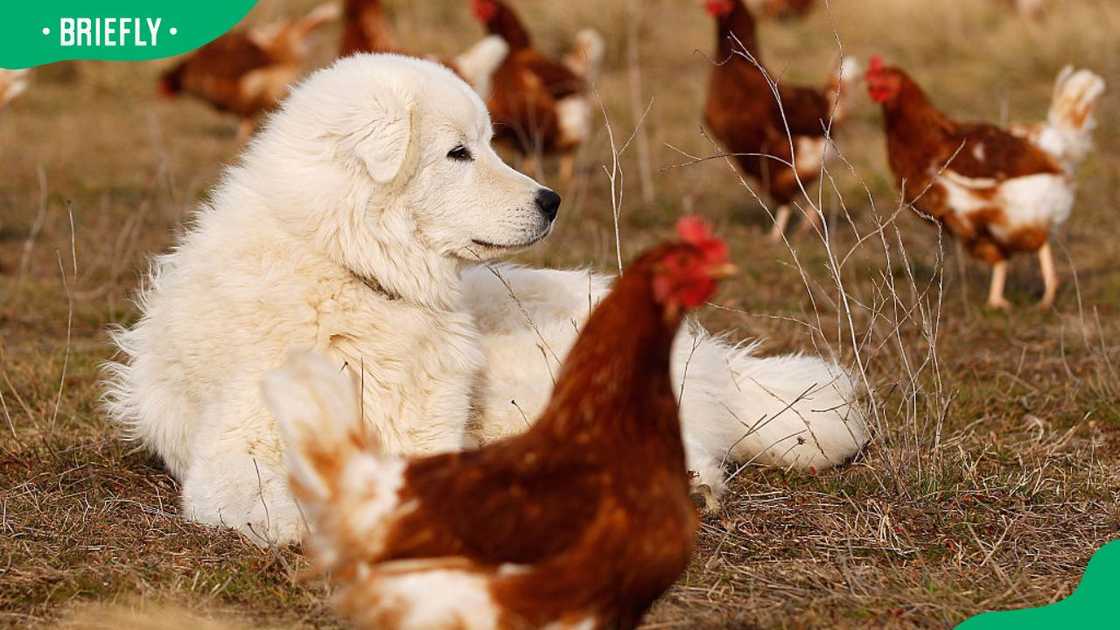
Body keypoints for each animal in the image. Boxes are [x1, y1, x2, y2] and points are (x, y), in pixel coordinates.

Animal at [103, 55, 864, 544]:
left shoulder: (428, 430)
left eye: (491, 143)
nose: (551, 200)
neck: (351, 269)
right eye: (458, 153)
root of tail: (711, 356)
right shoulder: (237, 453)